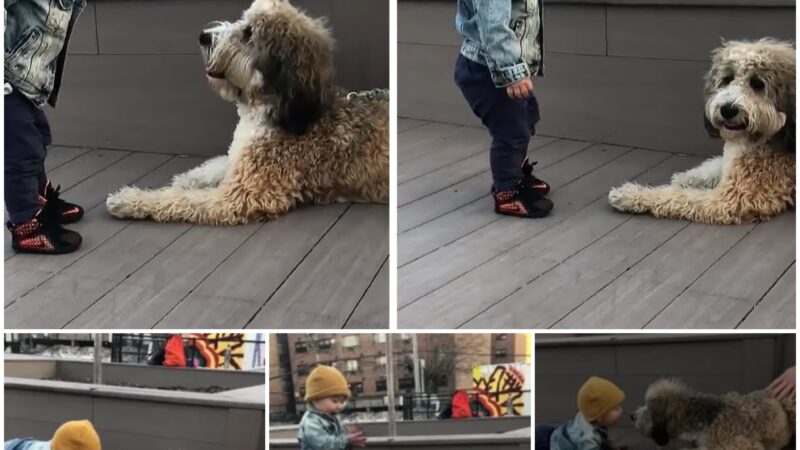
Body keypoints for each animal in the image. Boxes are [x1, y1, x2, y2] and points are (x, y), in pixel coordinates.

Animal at [107, 0, 390, 225]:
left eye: (248, 33)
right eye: (243, 21)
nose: (204, 36)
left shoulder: (242, 195)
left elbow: (182, 200)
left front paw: (130, 199)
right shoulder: (240, 159)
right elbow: (218, 164)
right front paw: (189, 178)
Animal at [612, 39, 792, 225]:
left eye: (758, 84)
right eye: (727, 79)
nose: (727, 109)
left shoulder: (733, 198)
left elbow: (679, 196)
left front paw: (629, 194)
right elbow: (715, 164)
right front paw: (687, 178)